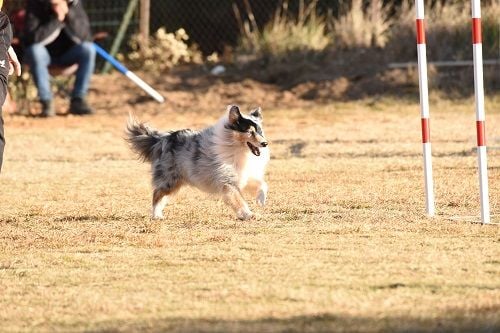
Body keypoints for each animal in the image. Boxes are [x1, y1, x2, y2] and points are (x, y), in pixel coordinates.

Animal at [127, 104, 272, 218]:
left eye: (260, 132)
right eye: (250, 132)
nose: (265, 144)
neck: (237, 148)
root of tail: (163, 139)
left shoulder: (243, 175)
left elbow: (263, 184)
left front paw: (261, 200)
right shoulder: (227, 181)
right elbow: (238, 200)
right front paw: (249, 214)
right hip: (170, 180)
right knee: (157, 193)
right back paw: (156, 215)